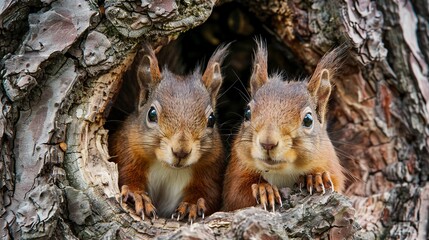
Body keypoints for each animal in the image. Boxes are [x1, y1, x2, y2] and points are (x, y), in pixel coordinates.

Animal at [109, 43, 227, 223]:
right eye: (151, 114)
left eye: (212, 119)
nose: (181, 151)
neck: (167, 168)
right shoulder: (125, 152)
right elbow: (125, 176)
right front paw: (138, 196)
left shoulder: (210, 172)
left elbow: (208, 194)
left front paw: (191, 205)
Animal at [222, 40, 346, 212]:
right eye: (247, 112)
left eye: (308, 119)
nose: (267, 143)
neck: (282, 173)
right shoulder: (237, 169)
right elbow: (236, 195)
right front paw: (264, 189)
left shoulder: (329, 161)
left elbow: (336, 181)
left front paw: (316, 177)